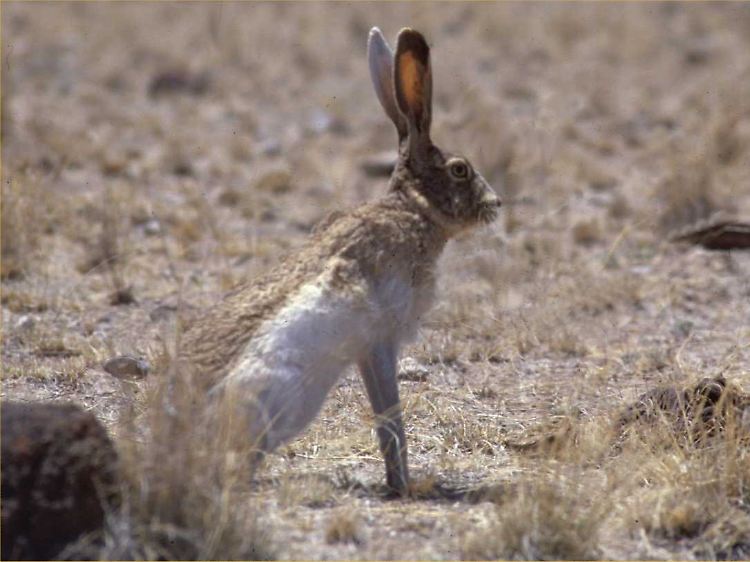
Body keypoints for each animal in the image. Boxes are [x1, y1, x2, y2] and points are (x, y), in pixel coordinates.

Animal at [179, 27, 502, 496]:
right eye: (460, 169)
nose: (496, 204)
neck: (414, 210)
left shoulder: (369, 350)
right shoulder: (379, 339)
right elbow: (390, 421)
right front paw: (403, 485)